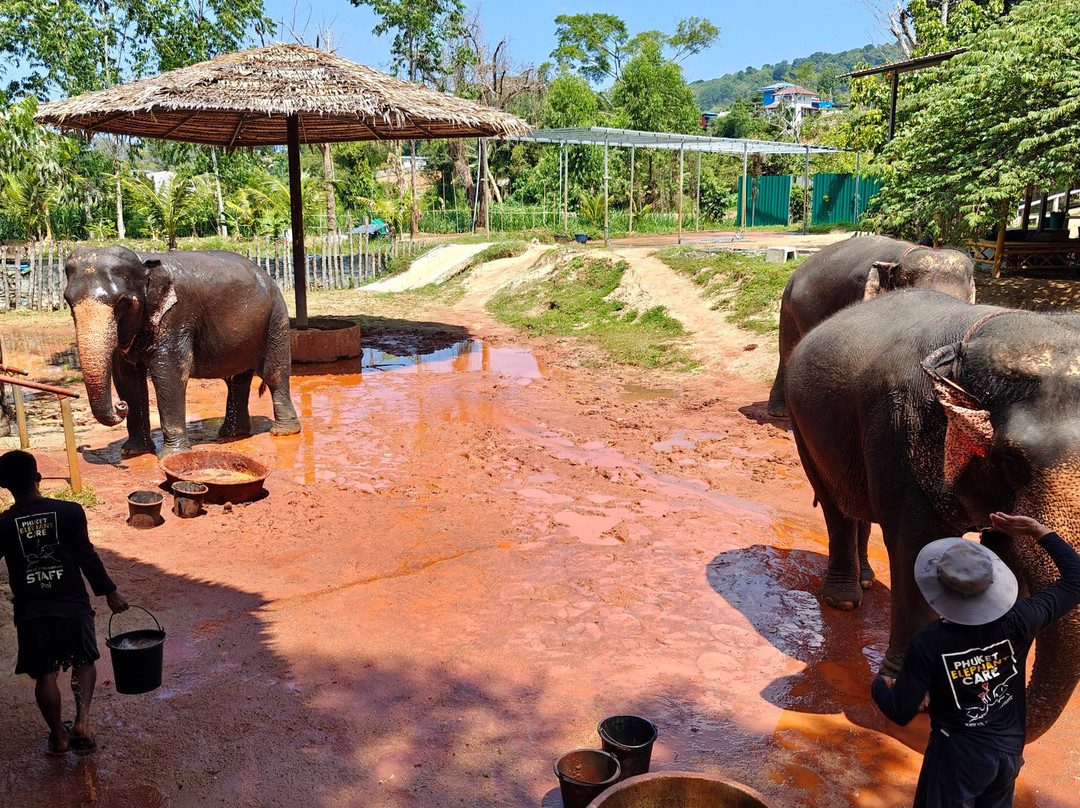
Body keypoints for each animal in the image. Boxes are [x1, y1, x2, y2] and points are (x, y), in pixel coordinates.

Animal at [64, 245, 301, 457]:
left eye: (121, 303)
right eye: (68, 302)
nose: (120, 406)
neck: (144, 262)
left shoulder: (177, 315)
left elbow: (169, 372)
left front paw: (172, 456)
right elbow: (127, 377)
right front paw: (133, 451)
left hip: (276, 317)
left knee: (273, 373)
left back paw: (284, 433)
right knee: (237, 379)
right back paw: (231, 434)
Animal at [785, 288, 1080, 740]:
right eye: (1013, 460)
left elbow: (1010, 560)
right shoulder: (901, 427)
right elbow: (914, 544)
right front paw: (908, 692)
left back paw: (867, 581)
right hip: (803, 426)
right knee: (837, 508)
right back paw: (844, 600)